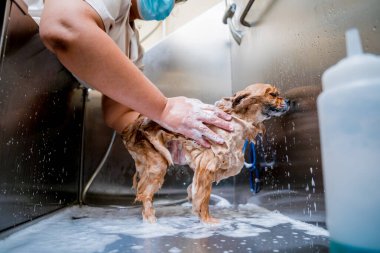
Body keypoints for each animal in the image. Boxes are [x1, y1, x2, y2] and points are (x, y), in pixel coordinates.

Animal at [121, 83, 288, 223]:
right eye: (273, 94)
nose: (288, 101)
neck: (239, 121)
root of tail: (132, 127)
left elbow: (199, 188)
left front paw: (192, 195)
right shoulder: (207, 164)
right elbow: (203, 197)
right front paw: (208, 222)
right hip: (157, 164)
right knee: (145, 195)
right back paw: (151, 221)